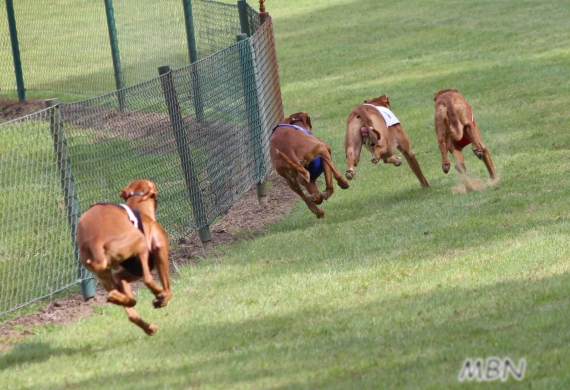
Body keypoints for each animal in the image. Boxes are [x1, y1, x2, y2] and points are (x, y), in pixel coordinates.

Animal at [76, 180, 172, 336]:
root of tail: (95, 239)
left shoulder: (125, 275)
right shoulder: (159, 250)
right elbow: (166, 285)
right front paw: (163, 297)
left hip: (105, 275)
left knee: (123, 301)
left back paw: (146, 323)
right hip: (140, 243)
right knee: (148, 280)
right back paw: (159, 296)